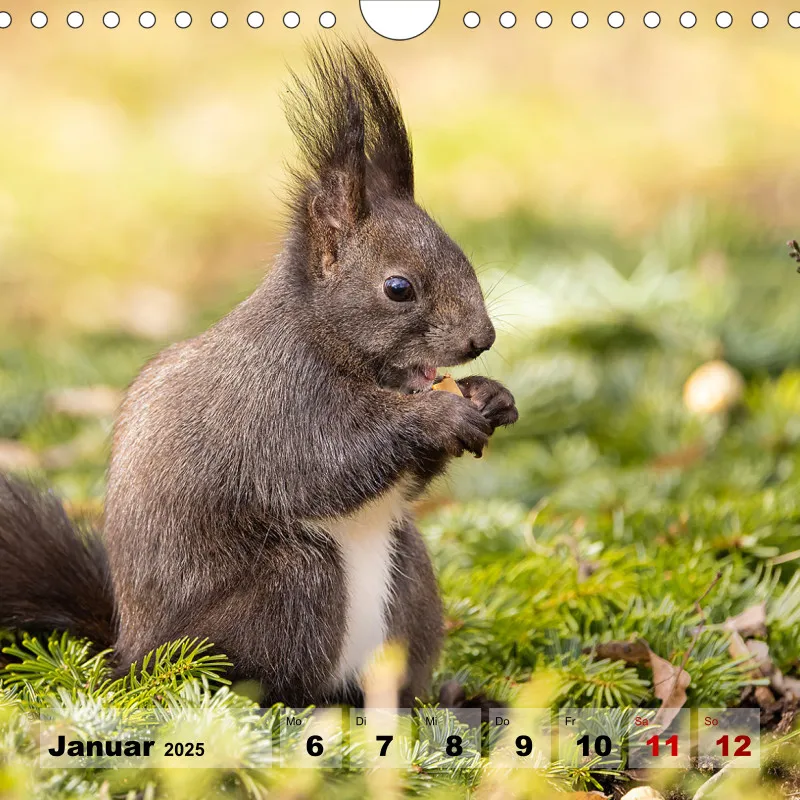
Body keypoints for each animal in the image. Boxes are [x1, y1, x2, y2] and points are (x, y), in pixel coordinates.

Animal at [0, 43, 518, 707]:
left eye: (464, 256)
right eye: (398, 288)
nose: (482, 340)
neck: (331, 348)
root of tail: (132, 656)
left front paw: (493, 397)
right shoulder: (273, 403)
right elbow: (325, 463)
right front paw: (440, 414)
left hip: (411, 585)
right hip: (289, 587)